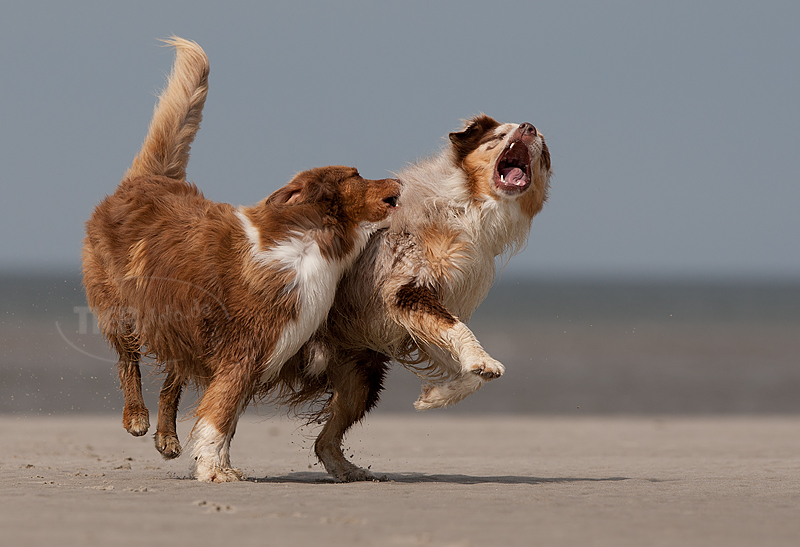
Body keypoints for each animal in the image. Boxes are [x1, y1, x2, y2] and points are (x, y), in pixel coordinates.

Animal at [81, 38, 400, 482]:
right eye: (356, 174)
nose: (399, 180)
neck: (312, 240)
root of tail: (148, 179)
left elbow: (224, 412)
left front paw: (214, 462)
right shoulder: (245, 348)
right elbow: (220, 413)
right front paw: (215, 470)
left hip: (182, 325)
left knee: (172, 381)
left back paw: (166, 438)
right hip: (122, 307)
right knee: (128, 359)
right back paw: (137, 418)